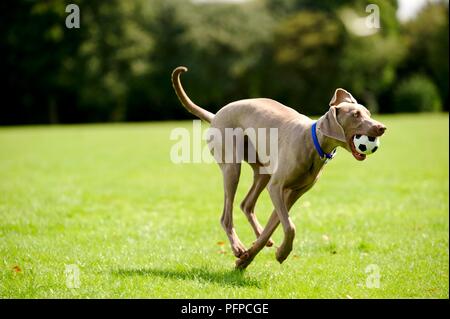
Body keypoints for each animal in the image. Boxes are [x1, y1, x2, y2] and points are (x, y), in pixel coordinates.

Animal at [171, 65, 384, 270]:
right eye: (356, 115)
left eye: (368, 113)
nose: (382, 127)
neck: (313, 143)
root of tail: (216, 115)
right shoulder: (276, 187)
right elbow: (290, 226)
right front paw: (278, 254)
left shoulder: (292, 193)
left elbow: (275, 225)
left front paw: (248, 258)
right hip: (232, 167)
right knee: (226, 215)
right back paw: (238, 247)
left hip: (263, 171)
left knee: (246, 204)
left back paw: (257, 241)